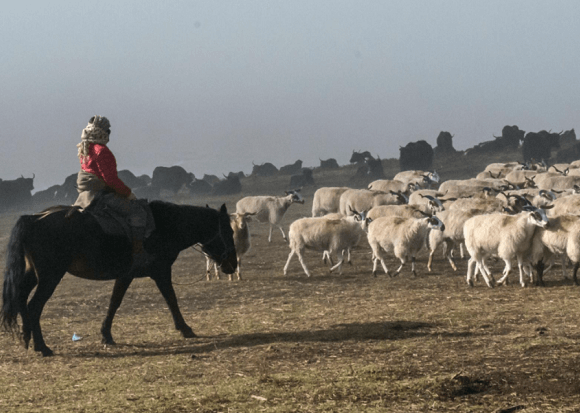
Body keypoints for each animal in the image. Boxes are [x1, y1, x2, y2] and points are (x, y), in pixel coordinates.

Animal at [0, 200, 236, 354]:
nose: (232, 265)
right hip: (50, 277)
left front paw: (106, 335)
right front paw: (186, 329)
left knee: (21, 298)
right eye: (230, 232)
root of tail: (32, 219)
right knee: (34, 306)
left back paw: (26, 337)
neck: (165, 226)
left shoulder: (126, 275)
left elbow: (115, 301)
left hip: (33, 275)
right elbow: (171, 298)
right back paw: (42, 347)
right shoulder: (160, 272)